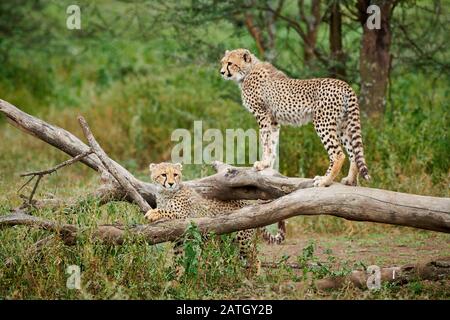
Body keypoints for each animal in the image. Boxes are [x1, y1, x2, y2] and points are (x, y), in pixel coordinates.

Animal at [144, 164, 284, 274]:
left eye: (175, 174)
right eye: (163, 174)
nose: (171, 184)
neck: (165, 194)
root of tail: (249, 203)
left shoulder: (185, 217)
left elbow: (168, 211)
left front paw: (152, 213)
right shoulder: (180, 238)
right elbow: (177, 258)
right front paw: (175, 278)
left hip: (242, 239)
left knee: (255, 258)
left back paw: (251, 277)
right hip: (226, 241)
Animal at [219, 48, 370, 186]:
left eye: (230, 63)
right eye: (223, 62)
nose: (221, 72)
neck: (248, 71)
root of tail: (344, 84)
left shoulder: (262, 115)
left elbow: (265, 141)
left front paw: (262, 163)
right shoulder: (273, 120)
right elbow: (272, 142)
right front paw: (268, 165)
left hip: (323, 123)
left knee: (338, 154)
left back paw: (324, 180)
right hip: (342, 125)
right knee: (353, 152)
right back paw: (349, 180)